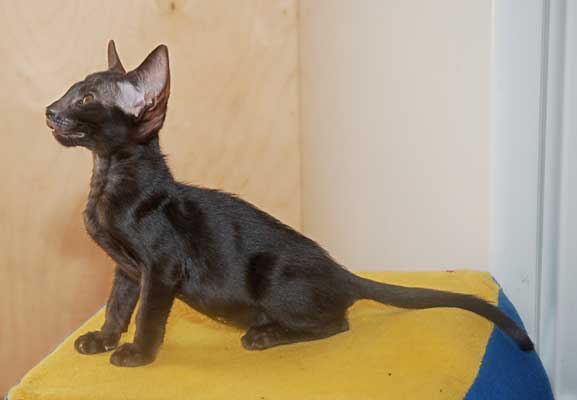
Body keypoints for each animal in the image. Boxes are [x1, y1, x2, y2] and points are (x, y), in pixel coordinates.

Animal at [44, 42, 532, 368]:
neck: (106, 184)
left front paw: (138, 354)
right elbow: (118, 306)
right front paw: (103, 339)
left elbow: (148, 315)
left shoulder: (160, 269)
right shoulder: (127, 270)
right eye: (71, 90)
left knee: (338, 322)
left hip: (273, 275)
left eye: (86, 99)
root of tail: (341, 271)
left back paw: (263, 335)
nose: (50, 109)